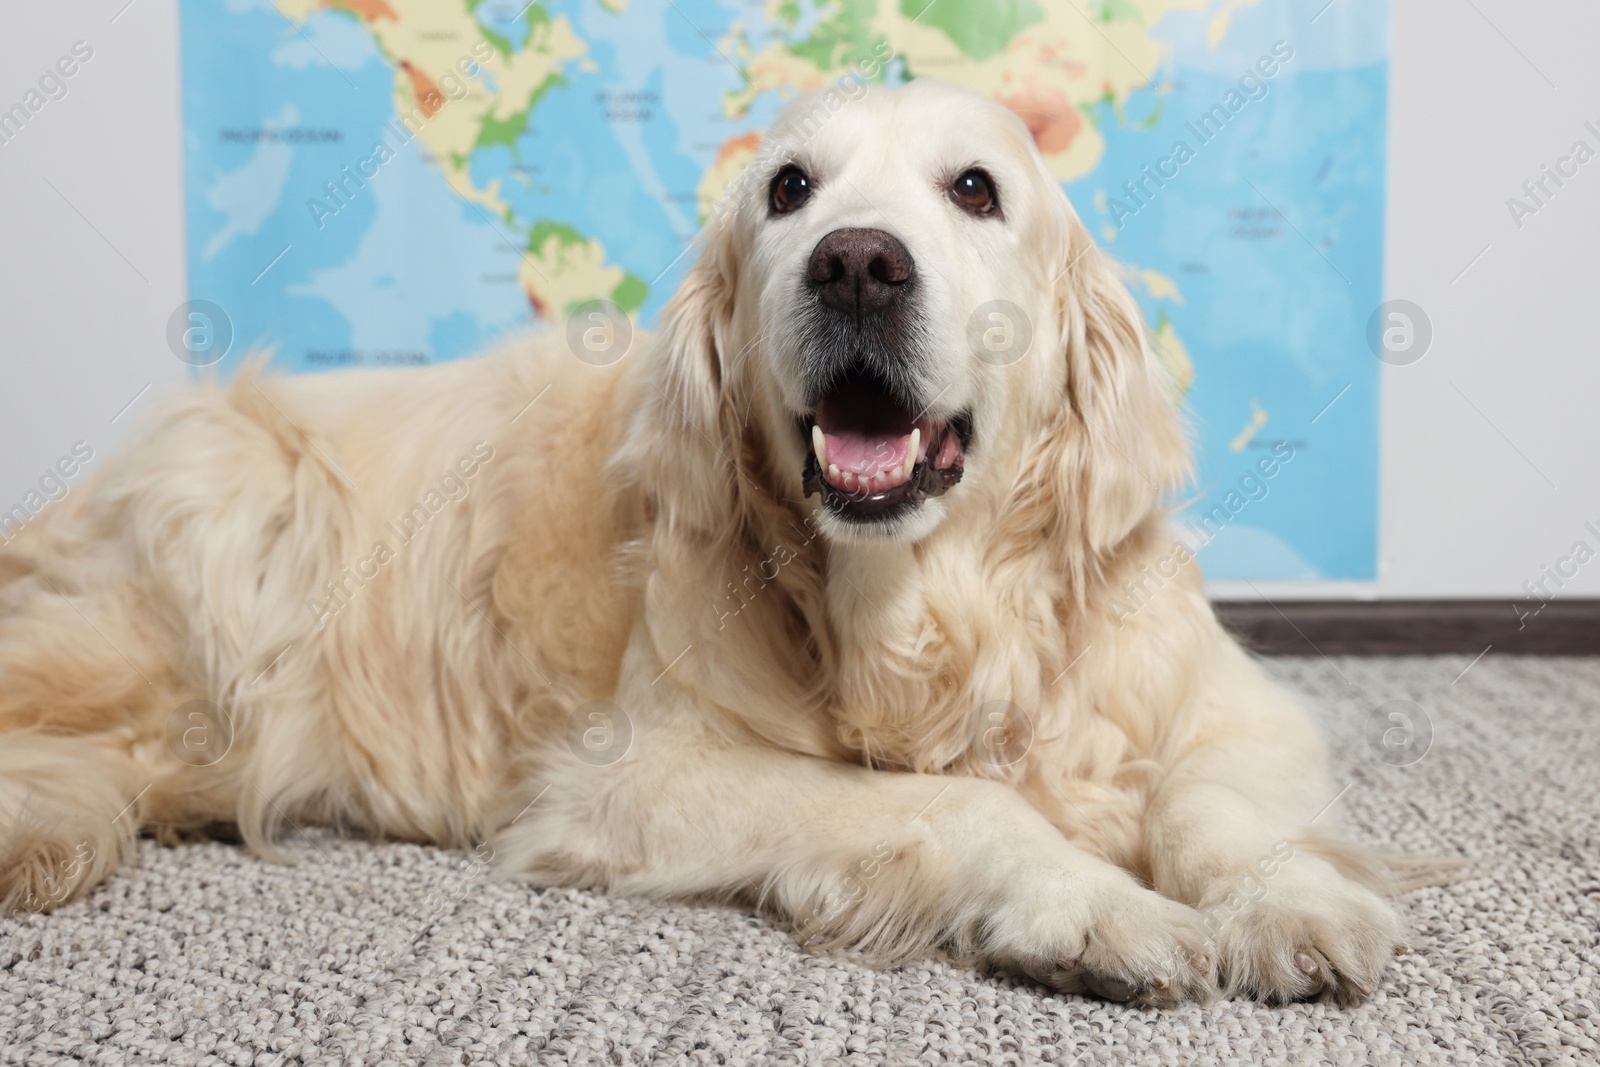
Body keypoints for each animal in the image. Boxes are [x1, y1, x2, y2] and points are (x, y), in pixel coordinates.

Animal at [0, 79, 1401, 1004]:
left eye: (975, 189)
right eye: (788, 190)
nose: (855, 263)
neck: (920, 609)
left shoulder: (1234, 698)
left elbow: (1216, 796)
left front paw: (1290, 901)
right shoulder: (638, 771)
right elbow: (957, 802)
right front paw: (1094, 902)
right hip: (219, 543)